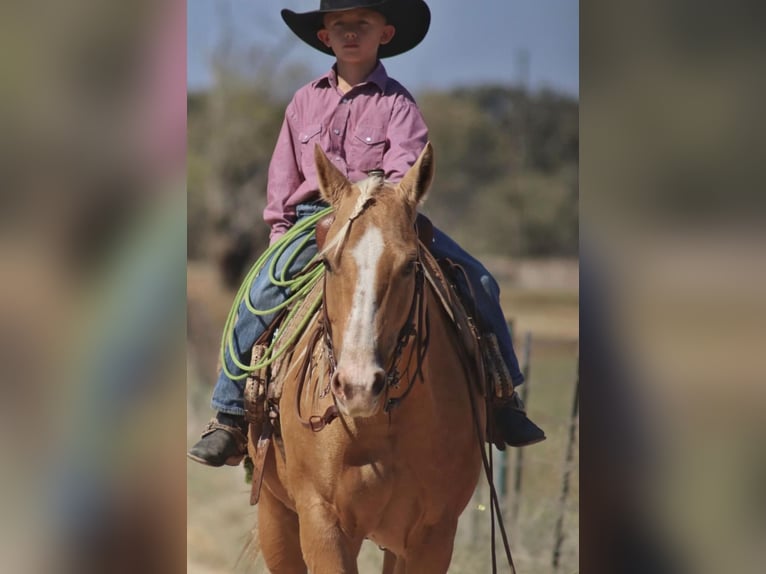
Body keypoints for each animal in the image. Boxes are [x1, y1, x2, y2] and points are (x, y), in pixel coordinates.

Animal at [256, 144, 486, 574]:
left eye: (411, 265)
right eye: (327, 262)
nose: (358, 386)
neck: (379, 425)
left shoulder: (433, 536)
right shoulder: (322, 525)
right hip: (275, 517)